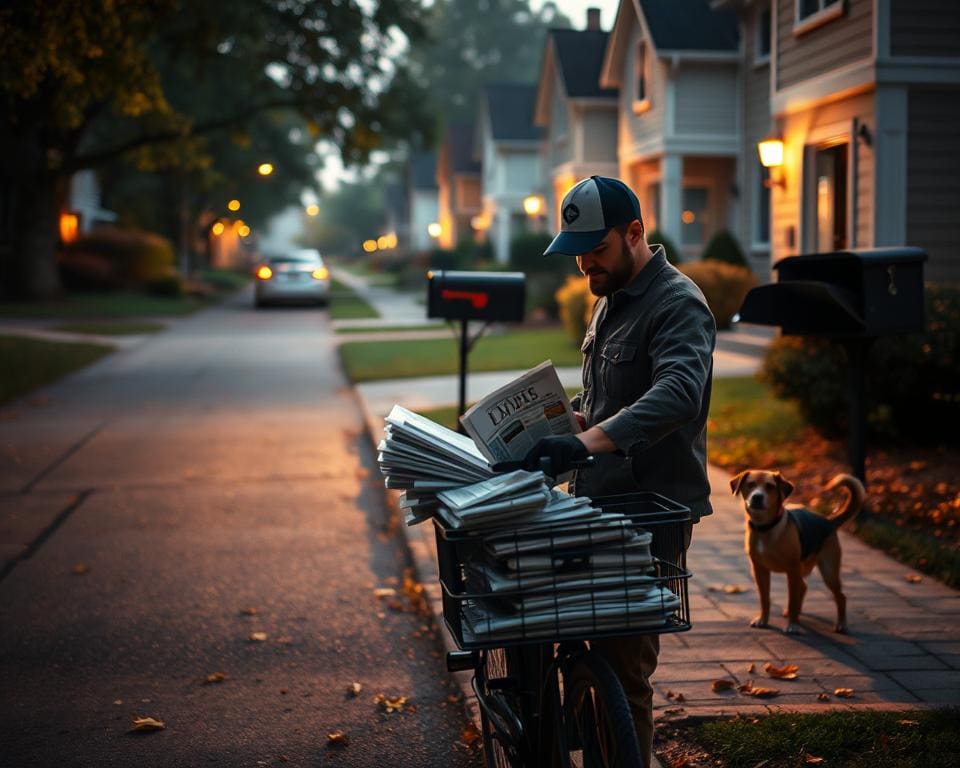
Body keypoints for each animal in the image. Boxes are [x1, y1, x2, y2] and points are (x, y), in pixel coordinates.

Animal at [732, 472, 868, 632]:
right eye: (750, 484)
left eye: (770, 486)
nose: (757, 497)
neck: (766, 528)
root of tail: (829, 522)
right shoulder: (759, 570)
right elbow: (765, 598)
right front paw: (763, 620)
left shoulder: (792, 569)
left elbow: (792, 599)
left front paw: (793, 625)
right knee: (803, 587)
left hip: (828, 572)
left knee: (840, 597)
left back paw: (841, 623)